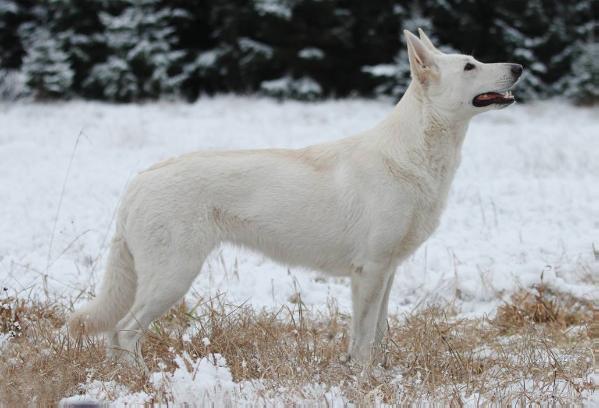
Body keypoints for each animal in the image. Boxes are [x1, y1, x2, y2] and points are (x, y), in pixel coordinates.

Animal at [68, 27, 524, 366]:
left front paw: (378, 374)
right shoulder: (370, 272)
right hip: (174, 277)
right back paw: (142, 378)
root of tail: (139, 181)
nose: (519, 66)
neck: (415, 154)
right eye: (470, 66)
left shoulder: (387, 273)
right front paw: (362, 379)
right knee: (125, 330)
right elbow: (362, 340)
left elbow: (378, 334)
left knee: (115, 334)